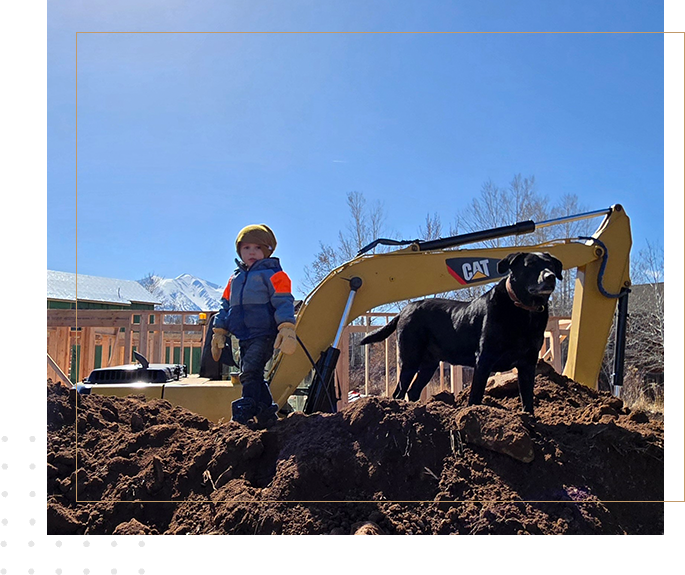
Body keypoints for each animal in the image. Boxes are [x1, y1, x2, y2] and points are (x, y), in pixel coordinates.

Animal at [358, 252, 560, 414]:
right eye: (530, 265)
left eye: (550, 265)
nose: (550, 277)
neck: (523, 311)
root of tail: (404, 310)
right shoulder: (484, 359)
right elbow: (475, 396)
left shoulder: (528, 363)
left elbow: (527, 398)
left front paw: (530, 420)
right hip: (410, 359)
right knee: (399, 392)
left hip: (429, 364)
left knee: (412, 391)